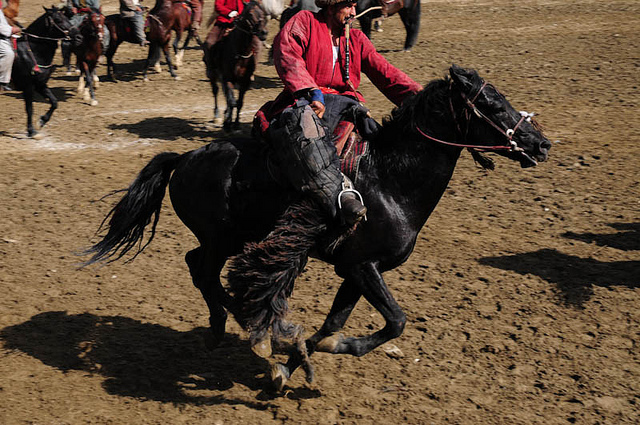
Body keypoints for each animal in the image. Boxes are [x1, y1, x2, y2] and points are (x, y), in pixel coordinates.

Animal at [10, 6, 74, 137]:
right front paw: (31, 130)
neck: (32, 51)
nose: (76, 32)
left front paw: (42, 120)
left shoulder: (40, 84)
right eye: (58, 20)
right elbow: (29, 108)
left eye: (66, 16)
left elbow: (54, 102)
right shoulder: (28, 86)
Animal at [84, 65, 552, 388]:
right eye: (492, 105)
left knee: (199, 266)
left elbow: (334, 324)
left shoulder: (355, 271)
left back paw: (244, 328)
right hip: (221, 238)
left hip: (231, 239)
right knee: (201, 268)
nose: (541, 143)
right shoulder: (363, 267)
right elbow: (396, 321)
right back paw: (236, 324)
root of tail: (184, 158)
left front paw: (290, 368)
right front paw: (327, 349)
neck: (389, 179)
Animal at [202, 0, 268, 130]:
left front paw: (236, 124)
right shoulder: (228, 79)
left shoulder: (245, 81)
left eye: (262, 11)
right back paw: (217, 116)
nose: (264, 32)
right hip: (212, 73)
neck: (241, 51)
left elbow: (239, 102)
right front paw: (227, 124)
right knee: (216, 91)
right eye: (250, 14)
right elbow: (232, 101)